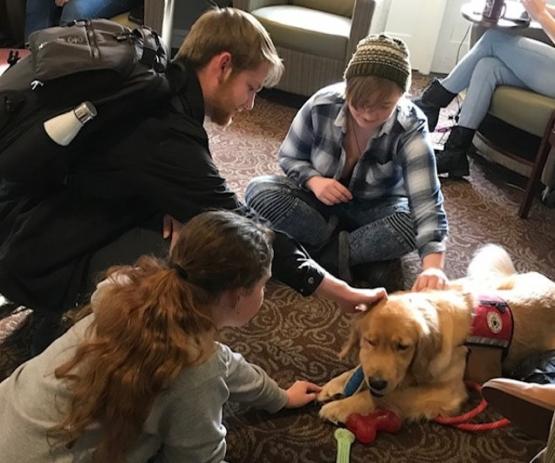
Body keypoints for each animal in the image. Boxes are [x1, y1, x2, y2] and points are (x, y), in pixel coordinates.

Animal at [320, 246, 555, 424]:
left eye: (402, 347)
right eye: (370, 341)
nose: (377, 382)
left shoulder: (449, 392)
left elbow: (382, 396)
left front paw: (340, 406)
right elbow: (359, 370)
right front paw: (334, 385)